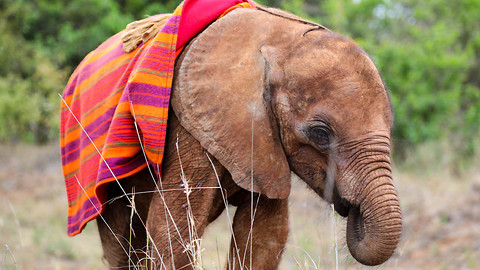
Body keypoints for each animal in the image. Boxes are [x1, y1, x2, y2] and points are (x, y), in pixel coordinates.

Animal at [94, 4, 402, 270]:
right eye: (320, 134)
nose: (352, 207)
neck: (282, 42)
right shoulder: (193, 124)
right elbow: (173, 226)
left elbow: (266, 233)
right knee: (122, 240)